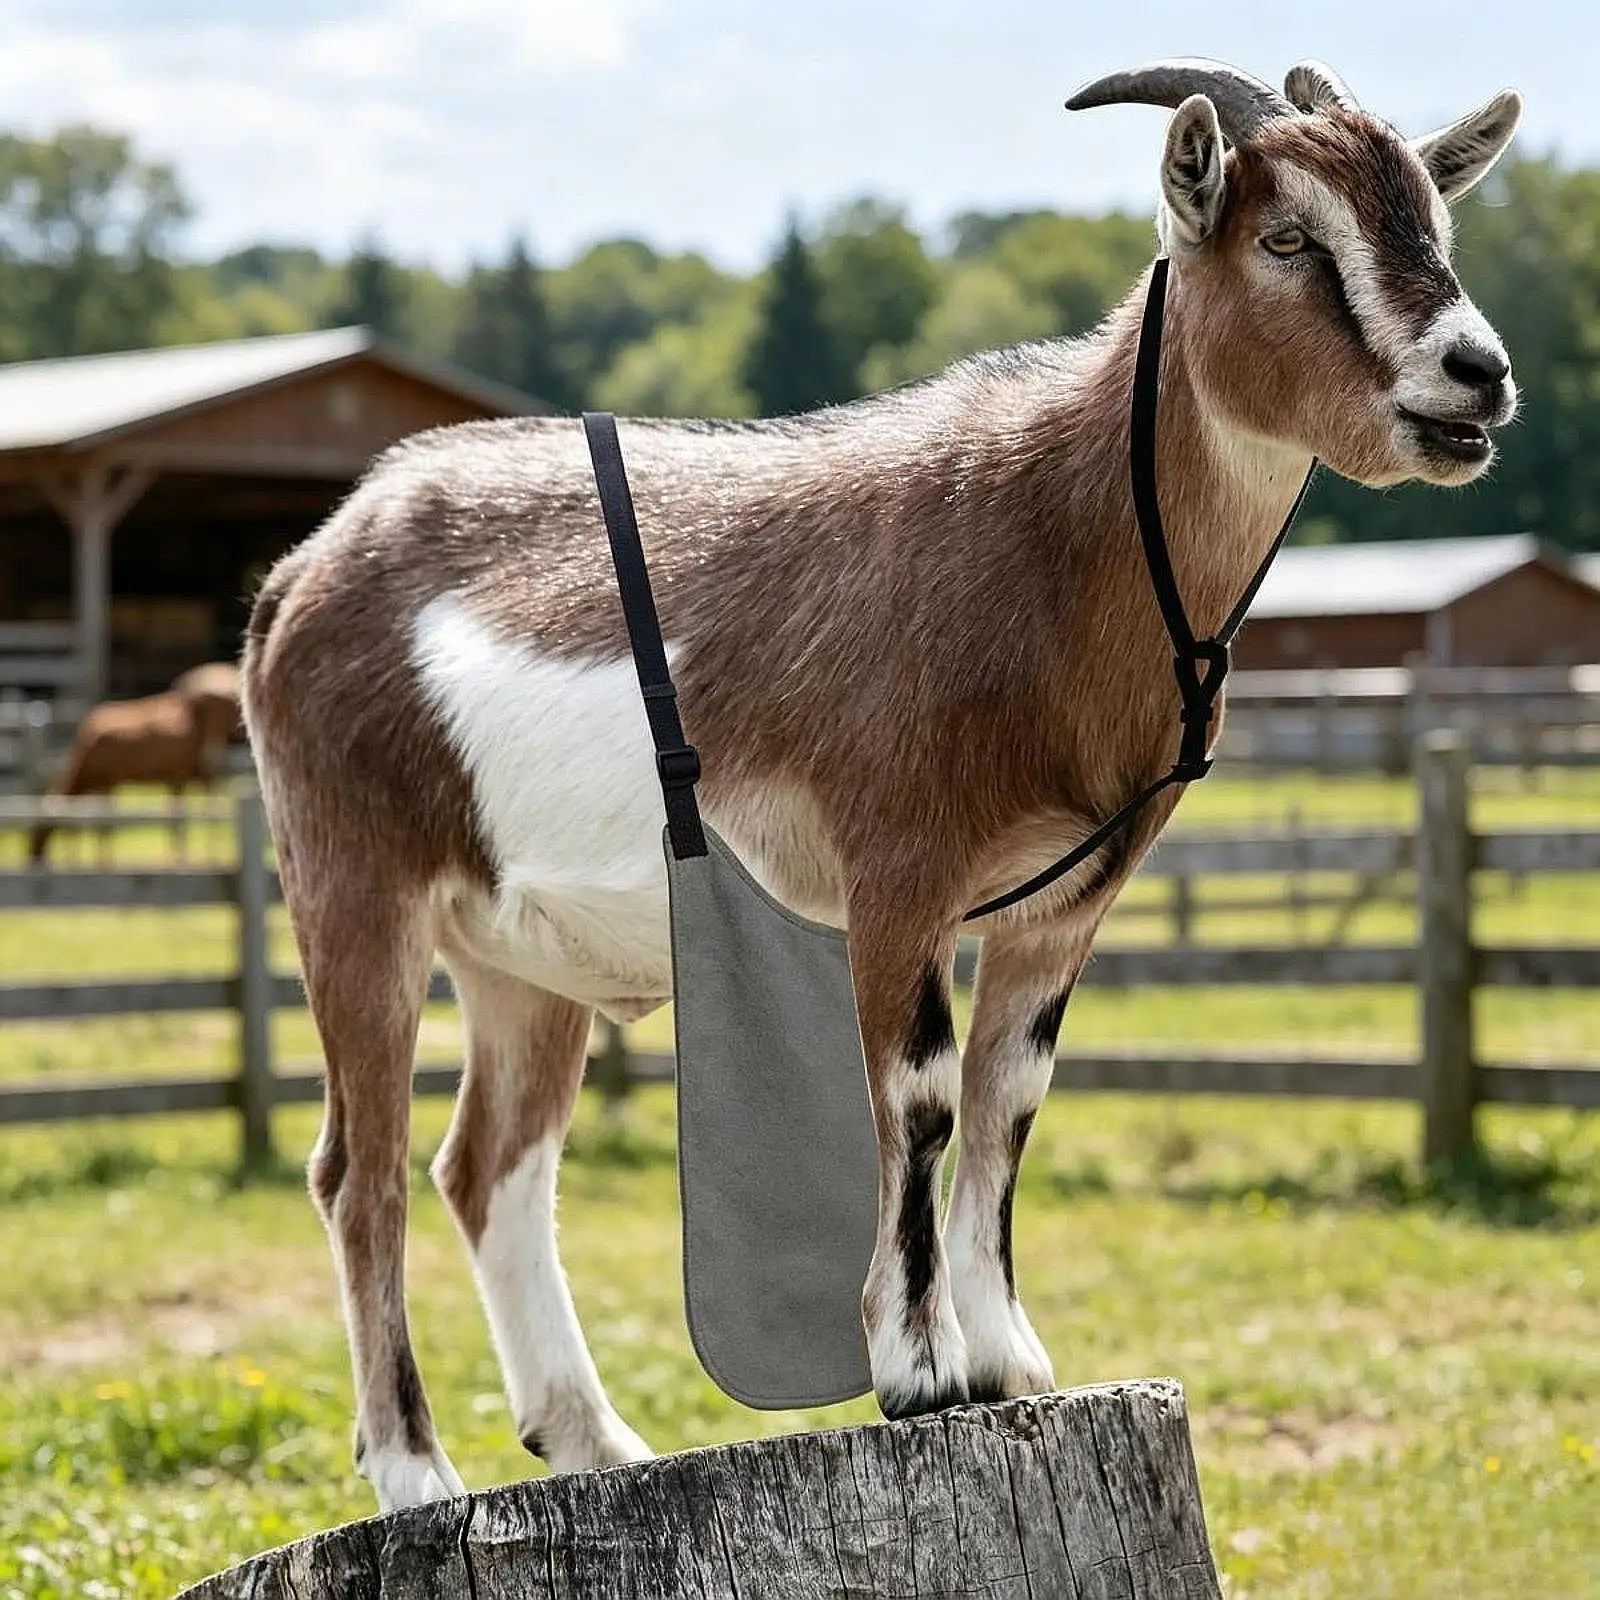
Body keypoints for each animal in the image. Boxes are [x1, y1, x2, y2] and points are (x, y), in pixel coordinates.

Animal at [242, 58, 1521, 1510]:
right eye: (1289, 239)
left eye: (1437, 224)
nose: (1476, 375)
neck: (1057, 535)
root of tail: (302, 575)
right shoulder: (897, 868)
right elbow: (918, 1094)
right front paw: (917, 1371)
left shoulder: (1063, 902)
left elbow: (1009, 1097)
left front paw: (1012, 1361)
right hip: (356, 888)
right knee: (362, 1169)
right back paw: (415, 1472)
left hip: (518, 954)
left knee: (487, 1165)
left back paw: (594, 1441)